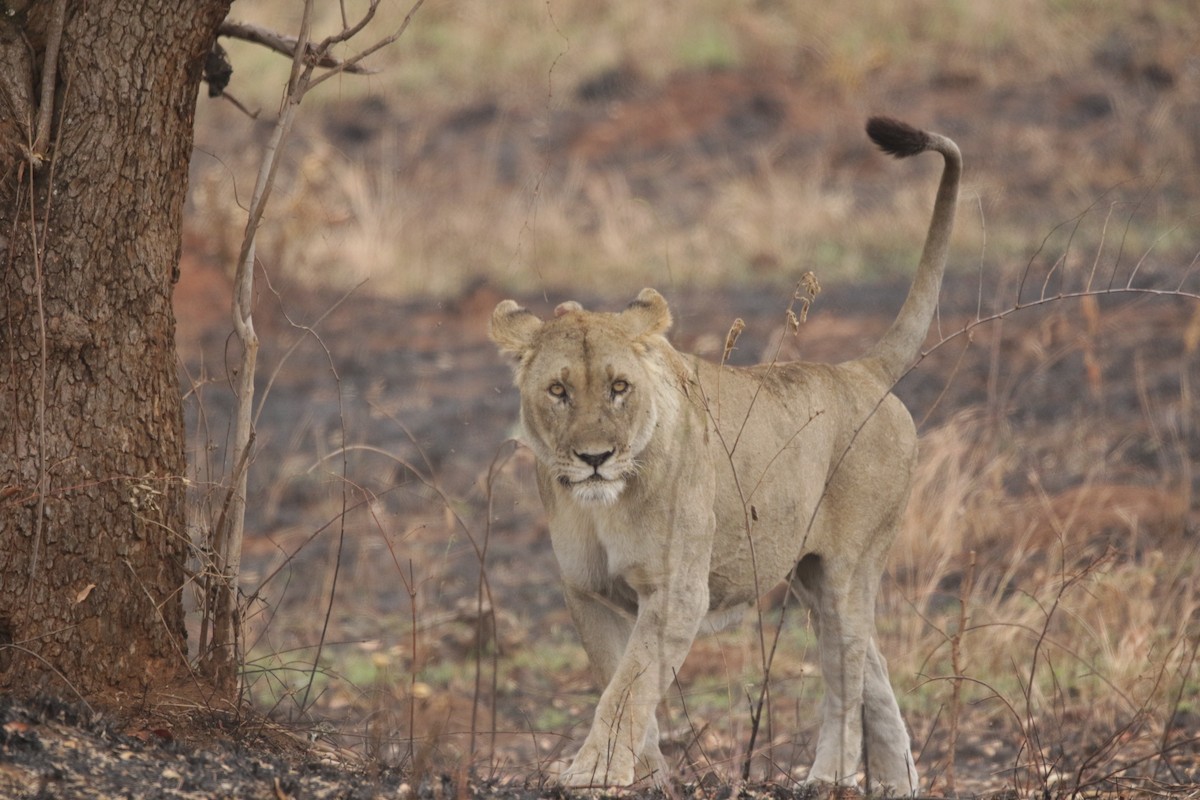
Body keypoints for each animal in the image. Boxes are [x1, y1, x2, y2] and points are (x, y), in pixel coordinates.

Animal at [489, 117, 961, 793]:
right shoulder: (588, 590)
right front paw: (643, 775)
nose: (595, 457)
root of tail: (859, 371)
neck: (603, 503)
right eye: (558, 391)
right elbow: (620, 682)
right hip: (810, 574)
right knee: (873, 667)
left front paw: (594, 773)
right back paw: (898, 783)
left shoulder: (676, 593)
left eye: (619, 387)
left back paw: (828, 777)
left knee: (845, 681)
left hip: (848, 568)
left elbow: (627, 688)